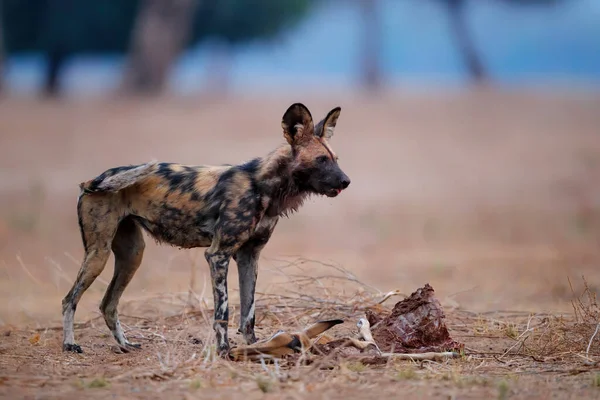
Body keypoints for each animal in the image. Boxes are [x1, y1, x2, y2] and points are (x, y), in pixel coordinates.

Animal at [61, 103, 350, 356]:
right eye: (321, 160)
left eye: (335, 159)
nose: (346, 181)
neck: (263, 186)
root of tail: (95, 178)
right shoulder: (218, 255)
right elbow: (223, 312)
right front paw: (224, 351)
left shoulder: (249, 256)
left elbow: (248, 314)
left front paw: (255, 347)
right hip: (98, 254)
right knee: (69, 300)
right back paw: (70, 344)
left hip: (132, 255)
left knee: (108, 304)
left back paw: (125, 345)